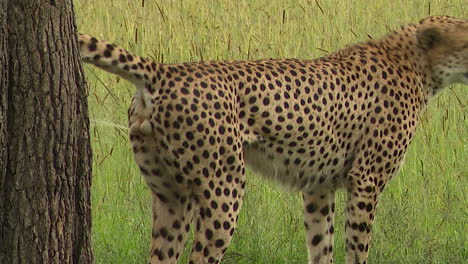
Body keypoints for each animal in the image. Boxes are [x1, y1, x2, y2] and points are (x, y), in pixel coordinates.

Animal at [78, 16, 466, 264]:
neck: (417, 63)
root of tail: (165, 70)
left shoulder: (318, 187)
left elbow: (321, 246)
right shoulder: (366, 180)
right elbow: (358, 247)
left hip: (171, 195)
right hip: (225, 188)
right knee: (201, 256)